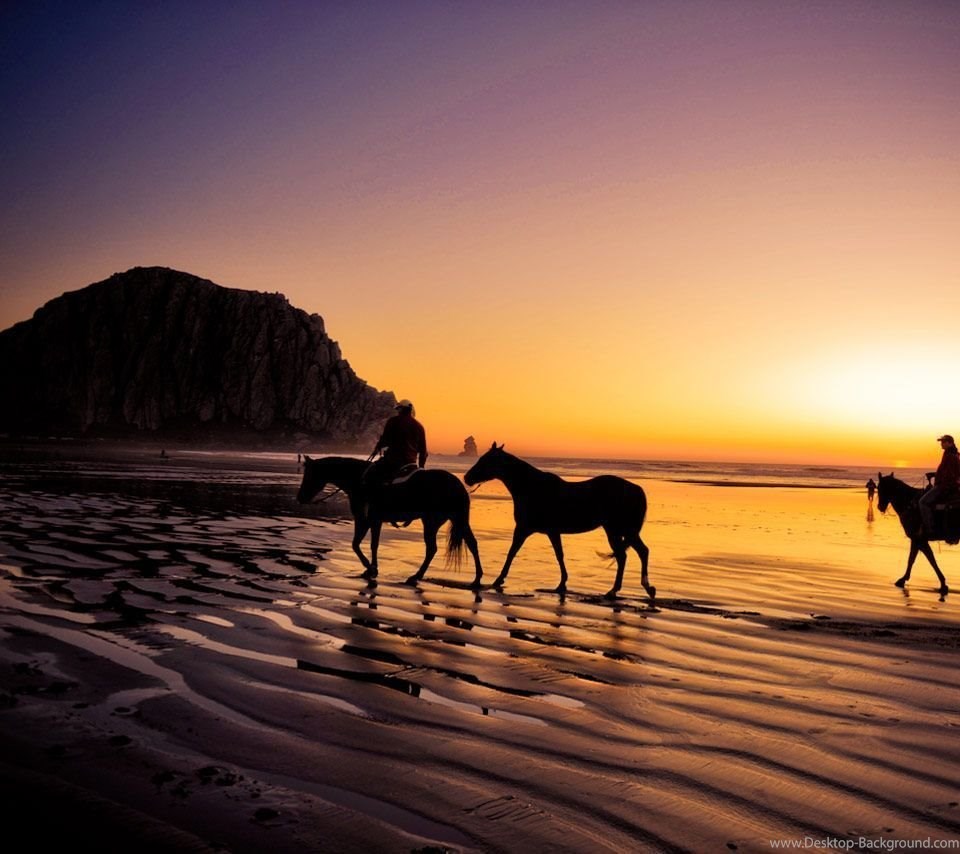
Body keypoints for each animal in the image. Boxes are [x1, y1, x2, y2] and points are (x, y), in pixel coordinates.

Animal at [296, 462, 484, 588]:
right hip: (456, 519)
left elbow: (360, 544)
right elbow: (368, 544)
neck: (359, 480)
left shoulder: (366, 520)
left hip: (432, 522)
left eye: (309, 475)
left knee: (432, 549)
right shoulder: (372, 521)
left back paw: (416, 576)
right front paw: (371, 569)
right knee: (471, 543)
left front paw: (370, 568)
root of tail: (458, 485)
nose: (300, 497)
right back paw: (476, 579)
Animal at [464, 444, 656, 600]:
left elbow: (512, 552)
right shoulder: (551, 532)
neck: (532, 487)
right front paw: (562, 584)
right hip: (622, 531)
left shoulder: (524, 529)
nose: (467, 478)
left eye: (485, 460)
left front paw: (498, 579)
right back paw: (643, 588)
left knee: (627, 555)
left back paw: (617, 590)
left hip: (619, 530)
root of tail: (636, 489)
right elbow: (559, 555)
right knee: (639, 552)